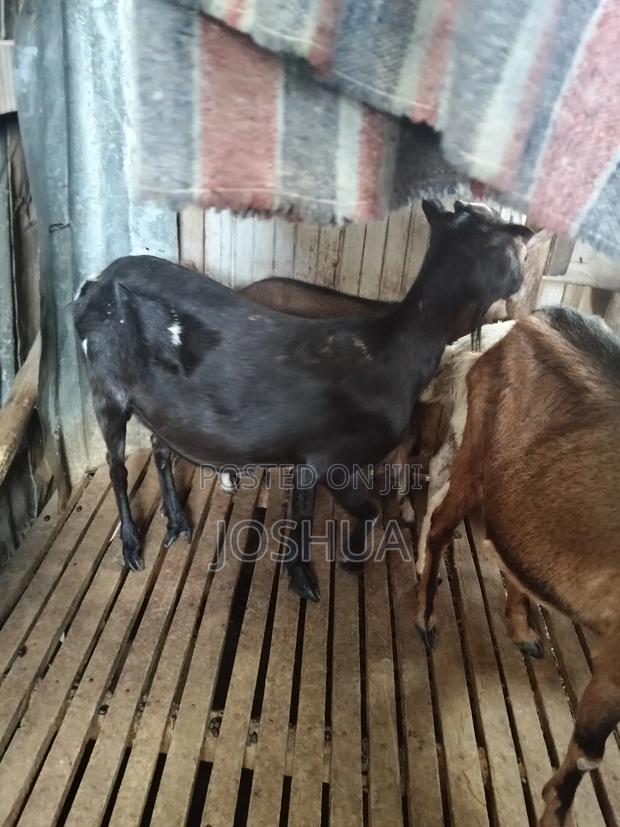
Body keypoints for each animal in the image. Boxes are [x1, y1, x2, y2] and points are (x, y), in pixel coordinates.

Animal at [72, 199, 530, 602]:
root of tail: (96, 280)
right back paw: (132, 547)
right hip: (106, 388)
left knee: (160, 449)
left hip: (161, 408)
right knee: (116, 468)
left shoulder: (309, 456)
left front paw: (302, 573)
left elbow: (306, 512)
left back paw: (178, 523)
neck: (390, 350)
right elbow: (366, 510)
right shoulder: (335, 459)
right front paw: (347, 562)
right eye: (512, 243)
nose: (521, 285)